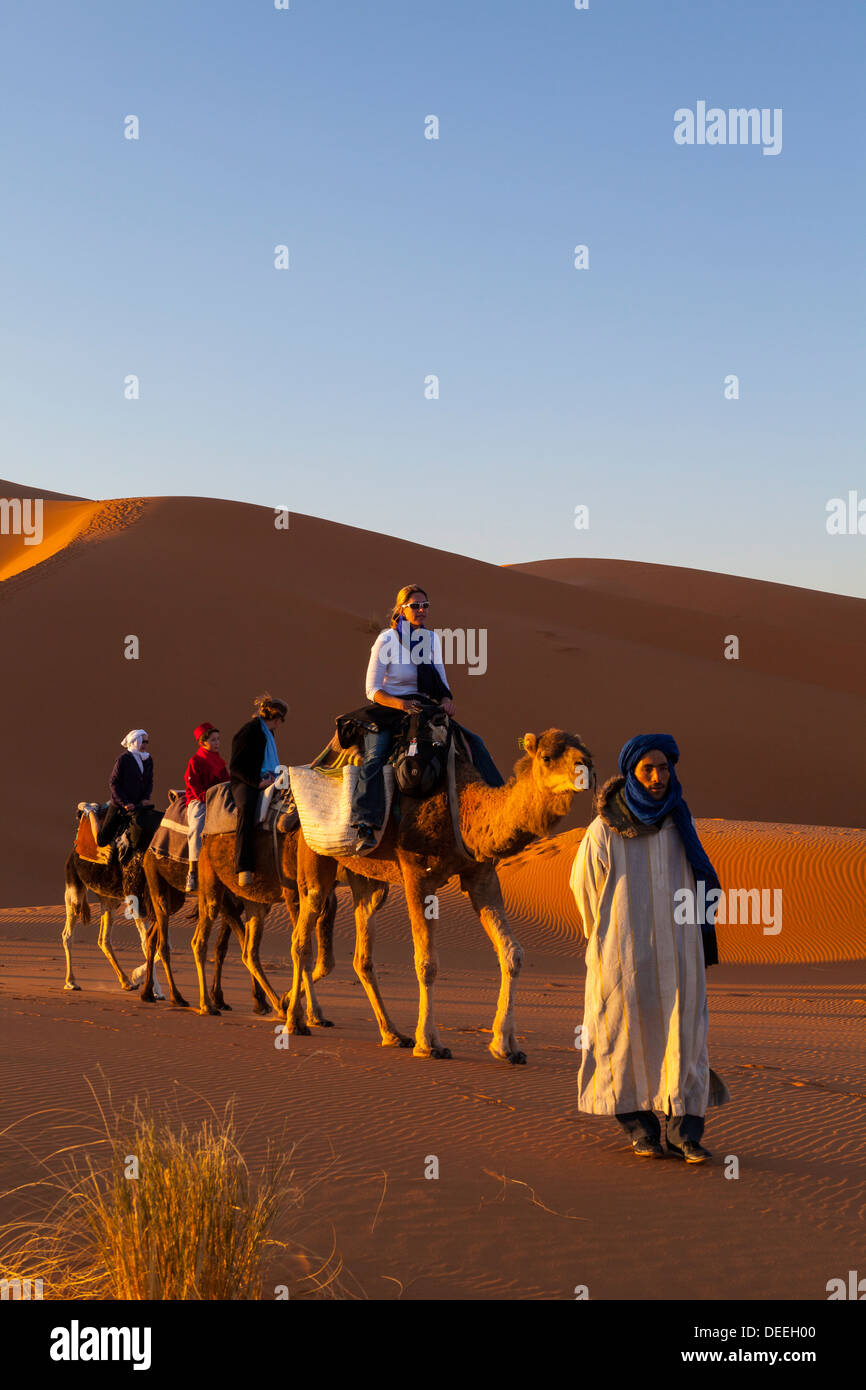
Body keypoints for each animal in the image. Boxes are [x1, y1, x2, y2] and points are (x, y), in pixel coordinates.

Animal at [287, 728, 592, 1061]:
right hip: (315, 860)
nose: (586, 769)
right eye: (547, 757)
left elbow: (512, 952)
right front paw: (429, 1043)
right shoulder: (417, 875)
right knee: (301, 939)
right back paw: (295, 1020)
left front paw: (506, 1045)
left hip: (367, 880)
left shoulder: (481, 875)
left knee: (362, 954)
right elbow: (427, 962)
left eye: (587, 752)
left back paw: (392, 1034)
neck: (465, 808)